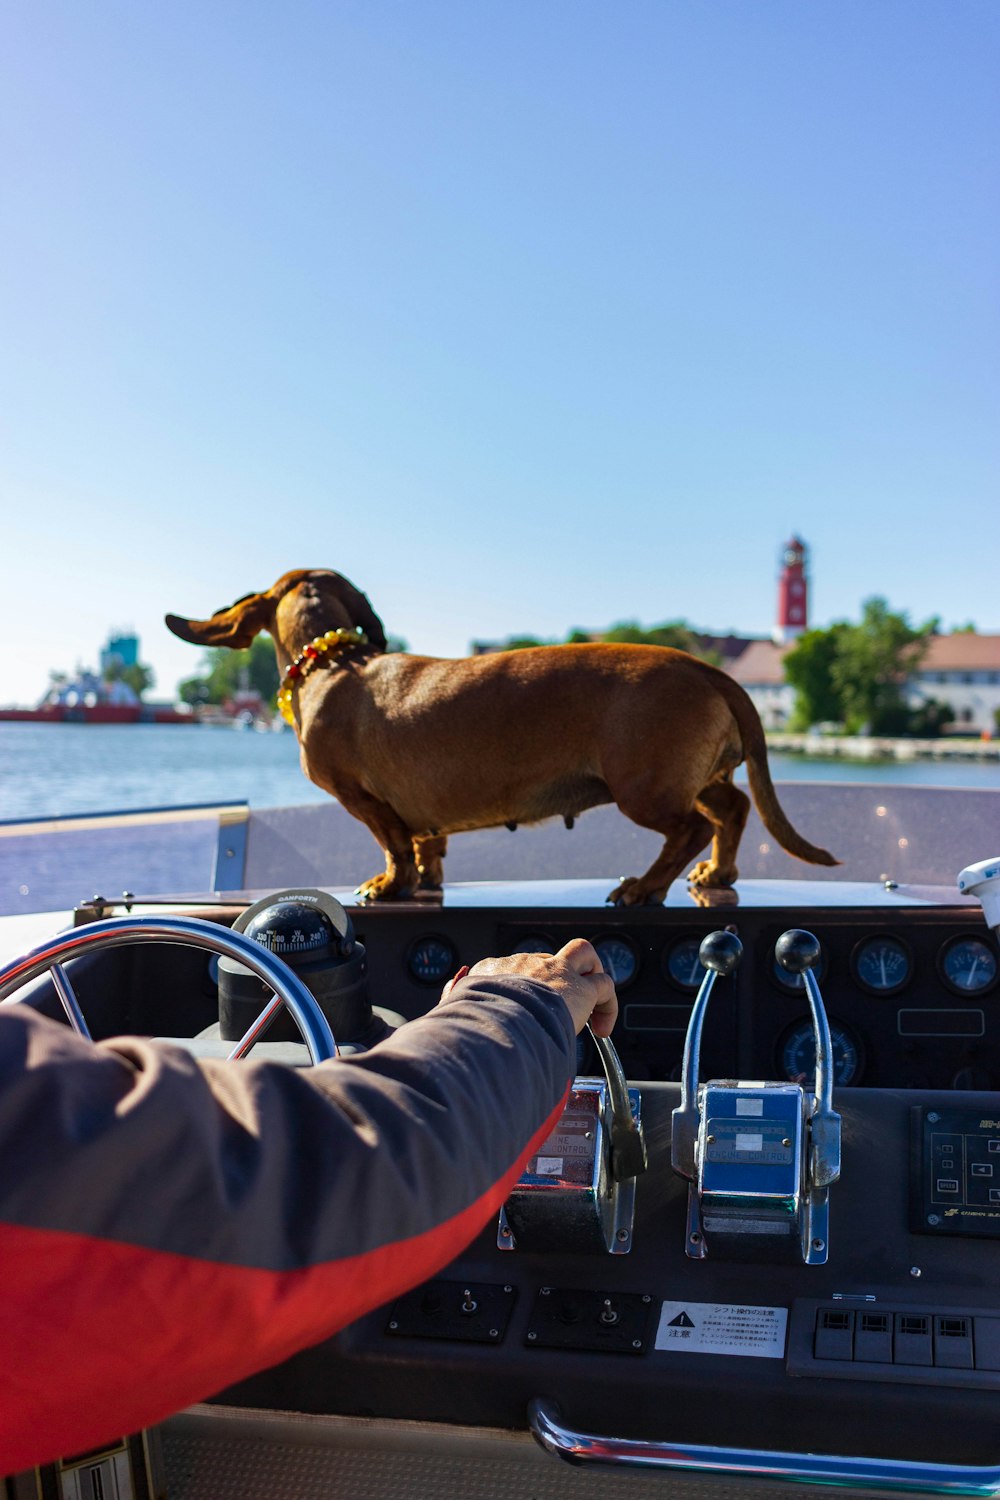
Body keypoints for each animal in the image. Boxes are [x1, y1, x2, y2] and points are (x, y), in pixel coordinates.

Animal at [166, 567, 839, 900]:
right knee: (733, 809)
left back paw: (644, 888)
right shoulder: (422, 815)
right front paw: (425, 882)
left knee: (696, 827)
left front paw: (389, 885)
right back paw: (718, 875)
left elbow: (393, 846)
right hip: (691, 777)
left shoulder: (364, 801)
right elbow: (426, 846)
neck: (333, 661)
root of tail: (707, 669)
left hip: (643, 789)